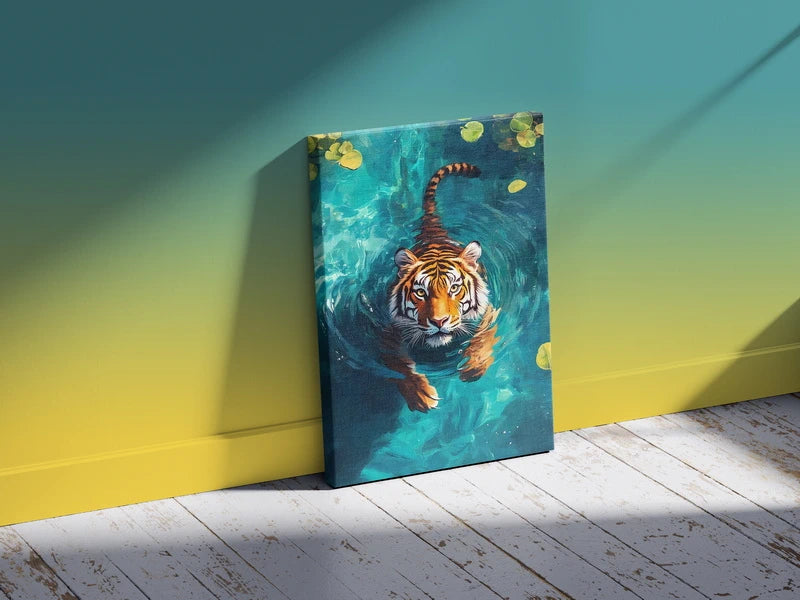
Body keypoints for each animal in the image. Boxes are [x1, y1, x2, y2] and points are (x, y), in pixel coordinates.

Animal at [381, 162, 500, 413]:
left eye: (454, 289)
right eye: (420, 292)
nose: (439, 321)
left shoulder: (490, 312)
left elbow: (483, 338)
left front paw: (474, 366)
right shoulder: (387, 333)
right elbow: (400, 365)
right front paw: (420, 393)